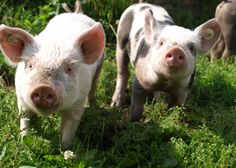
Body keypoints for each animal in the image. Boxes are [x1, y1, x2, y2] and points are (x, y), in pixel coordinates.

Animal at [0, 0, 105, 150]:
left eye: (69, 69)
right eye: (30, 65)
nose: (43, 87)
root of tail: (76, 12)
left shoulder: (77, 106)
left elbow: (67, 135)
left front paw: (65, 151)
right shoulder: (21, 99)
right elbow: (25, 122)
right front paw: (24, 143)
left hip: (99, 67)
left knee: (94, 86)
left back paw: (93, 105)